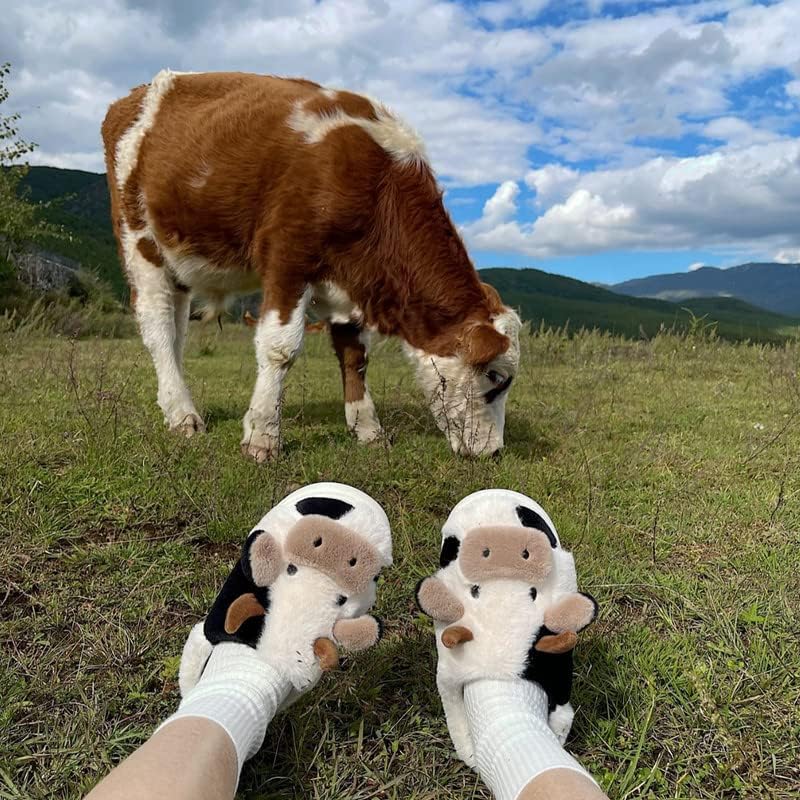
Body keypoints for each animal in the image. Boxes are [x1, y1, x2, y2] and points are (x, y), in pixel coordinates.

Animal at [100, 72, 520, 460]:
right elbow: (280, 349)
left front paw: (368, 430)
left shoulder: (351, 278)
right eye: (495, 376)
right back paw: (182, 415)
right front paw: (263, 437)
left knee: (176, 333)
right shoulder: (288, 257)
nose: (496, 452)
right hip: (139, 241)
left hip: (180, 263)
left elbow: (355, 357)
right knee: (157, 327)